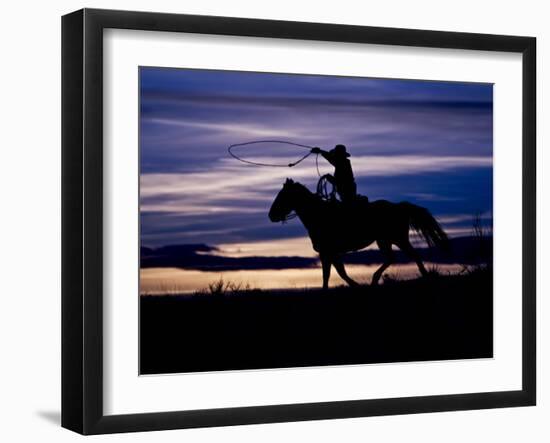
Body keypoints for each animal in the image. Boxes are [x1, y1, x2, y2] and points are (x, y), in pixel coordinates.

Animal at [270, 179, 450, 290]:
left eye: (282, 196)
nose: (271, 215)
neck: (319, 215)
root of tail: (399, 206)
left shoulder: (327, 252)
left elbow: (332, 274)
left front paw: (354, 285)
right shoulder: (329, 253)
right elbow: (336, 272)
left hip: (397, 239)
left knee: (410, 256)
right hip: (386, 240)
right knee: (395, 257)